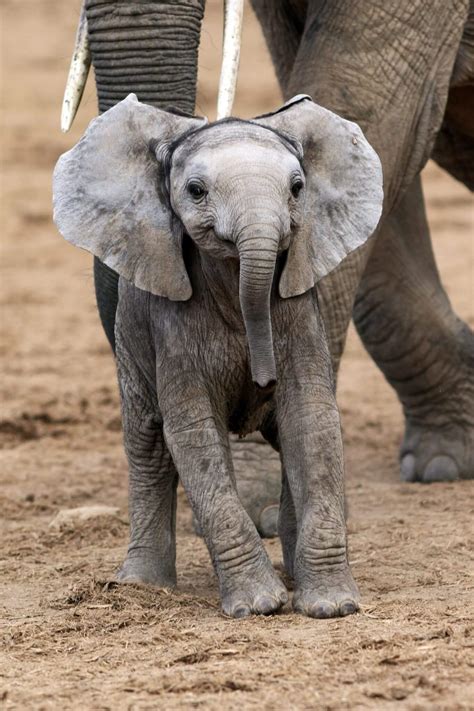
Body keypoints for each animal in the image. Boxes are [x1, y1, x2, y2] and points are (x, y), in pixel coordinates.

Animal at [53, 94, 384, 616]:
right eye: (195, 190)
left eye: (298, 188)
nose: (263, 380)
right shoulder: (173, 330)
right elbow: (194, 435)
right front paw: (258, 606)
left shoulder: (299, 311)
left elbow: (311, 421)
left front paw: (332, 606)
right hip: (130, 341)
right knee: (148, 446)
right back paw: (141, 586)